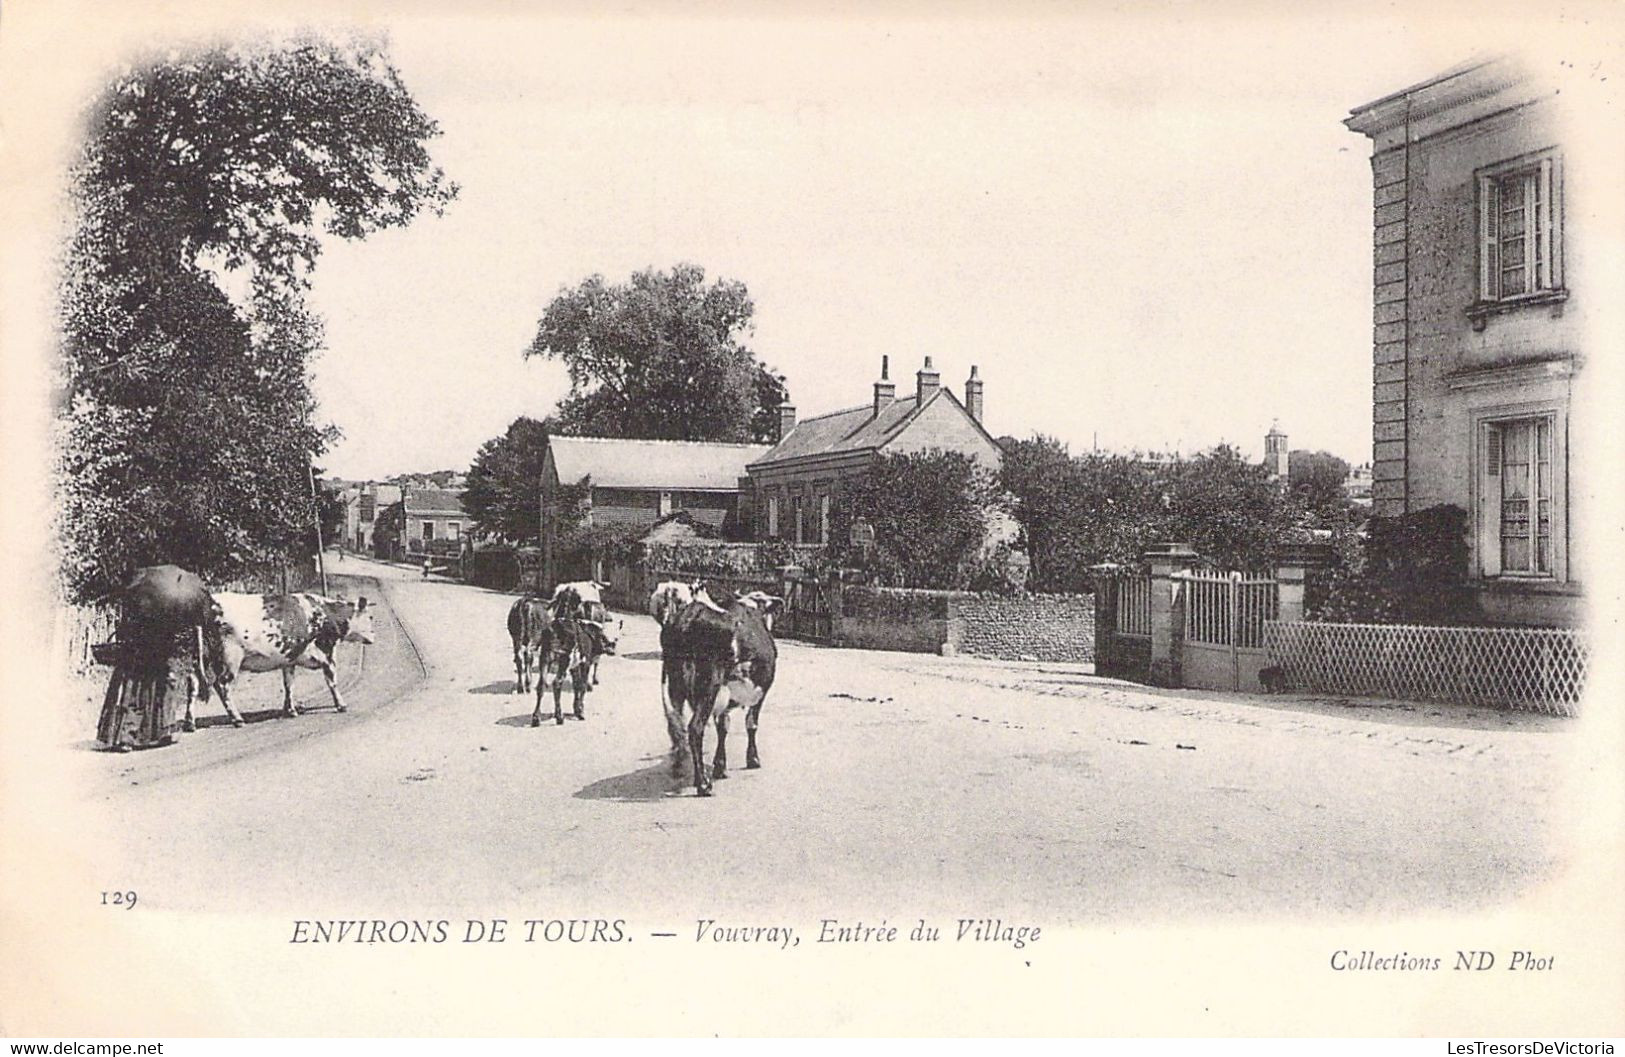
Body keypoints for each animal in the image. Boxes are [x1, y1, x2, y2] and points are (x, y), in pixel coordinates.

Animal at [190, 588, 377, 728]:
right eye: (370, 617)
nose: (373, 636)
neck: (327, 614)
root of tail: (207, 604)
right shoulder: (327, 651)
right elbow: (332, 681)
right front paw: (341, 705)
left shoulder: (289, 659)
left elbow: (289, 684)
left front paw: (290, 710)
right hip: (230, 658)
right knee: (222, 685)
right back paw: (237, 719)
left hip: (198, 657)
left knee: (193, 682)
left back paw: (189, 723)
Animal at [659, 588, 786, 793]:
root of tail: (690, 615)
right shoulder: (761, 691)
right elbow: (751, 724)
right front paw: (753, 759)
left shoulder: (725, 699)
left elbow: (723, 728)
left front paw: (720, 766)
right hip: (709, 686)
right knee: (695, 728)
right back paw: (703, 783)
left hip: (674, 686)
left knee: (676, 727)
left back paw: (679, 766)